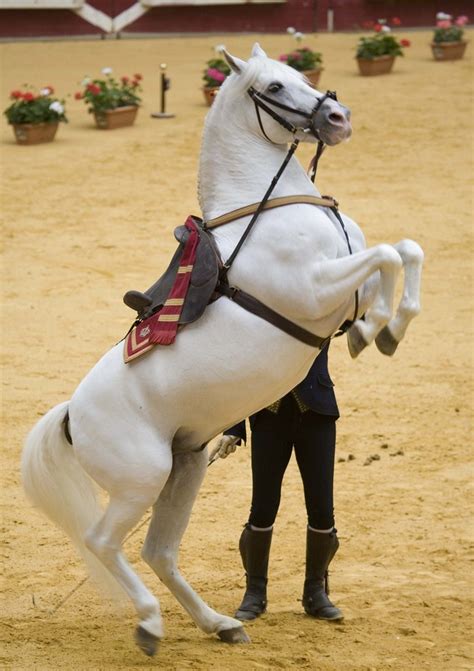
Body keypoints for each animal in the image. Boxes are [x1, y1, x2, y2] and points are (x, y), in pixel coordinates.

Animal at [21, 44, 422, 660]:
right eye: (275, 87)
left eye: (304, 75)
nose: (339, 118)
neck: (269, 207)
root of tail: (70, 417)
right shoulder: (315, 290)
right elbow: (387, 255)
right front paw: (378, 327)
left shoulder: (341, 283)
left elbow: (403, 250)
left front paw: (382, 328)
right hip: (141, 479)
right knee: (104, 542)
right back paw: (150, 624)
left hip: (183, 469)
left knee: (158, 551)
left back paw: (220, 624)